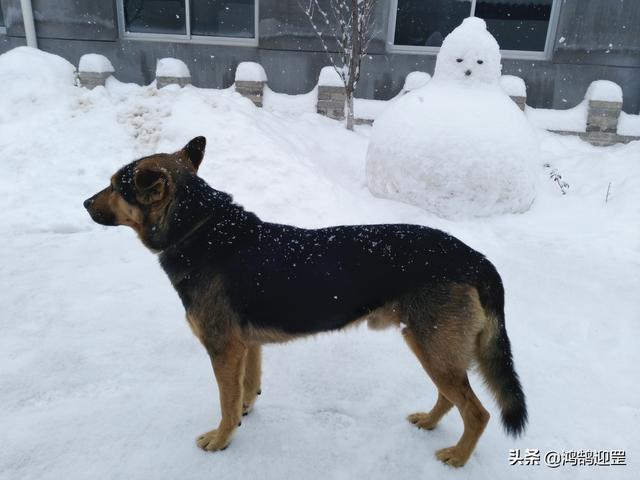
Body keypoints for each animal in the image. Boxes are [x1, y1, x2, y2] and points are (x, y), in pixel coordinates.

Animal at [84, 137, 524, 466]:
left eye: (114, 186)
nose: (85, 204)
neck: (200, 228)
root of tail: (475, 258)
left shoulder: (223, 349)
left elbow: (225, 402)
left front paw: (221, 440)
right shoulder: (247, 346)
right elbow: (246, 389)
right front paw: (244, 415)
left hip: (432, 346)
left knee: (478, 412)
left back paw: (459, 457)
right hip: (428, 345)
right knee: (450, 397)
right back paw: (429, 422)